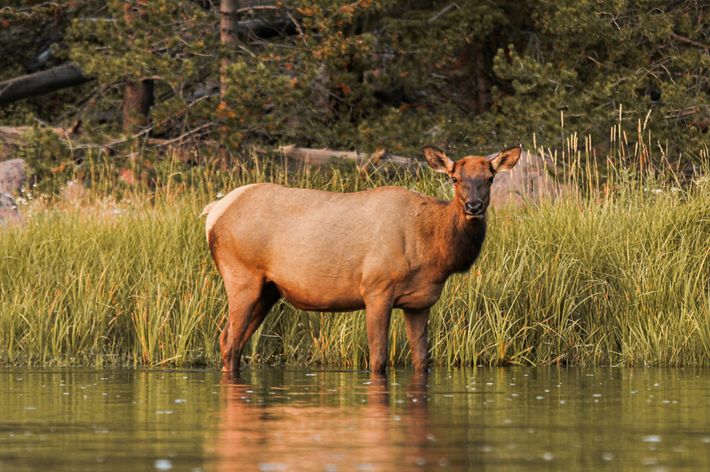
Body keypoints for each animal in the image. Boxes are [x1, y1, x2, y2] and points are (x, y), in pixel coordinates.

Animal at [203, 145, 521, 376]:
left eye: (489, 178)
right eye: (455, 179)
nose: (473, 206)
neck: (433, 250)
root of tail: (213, 212)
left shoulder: (420, 302)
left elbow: (422, 360)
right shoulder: (377, 289)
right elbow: (378, 359)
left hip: (269, 290)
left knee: (234, 341)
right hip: (241, 276)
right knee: (228, 340)